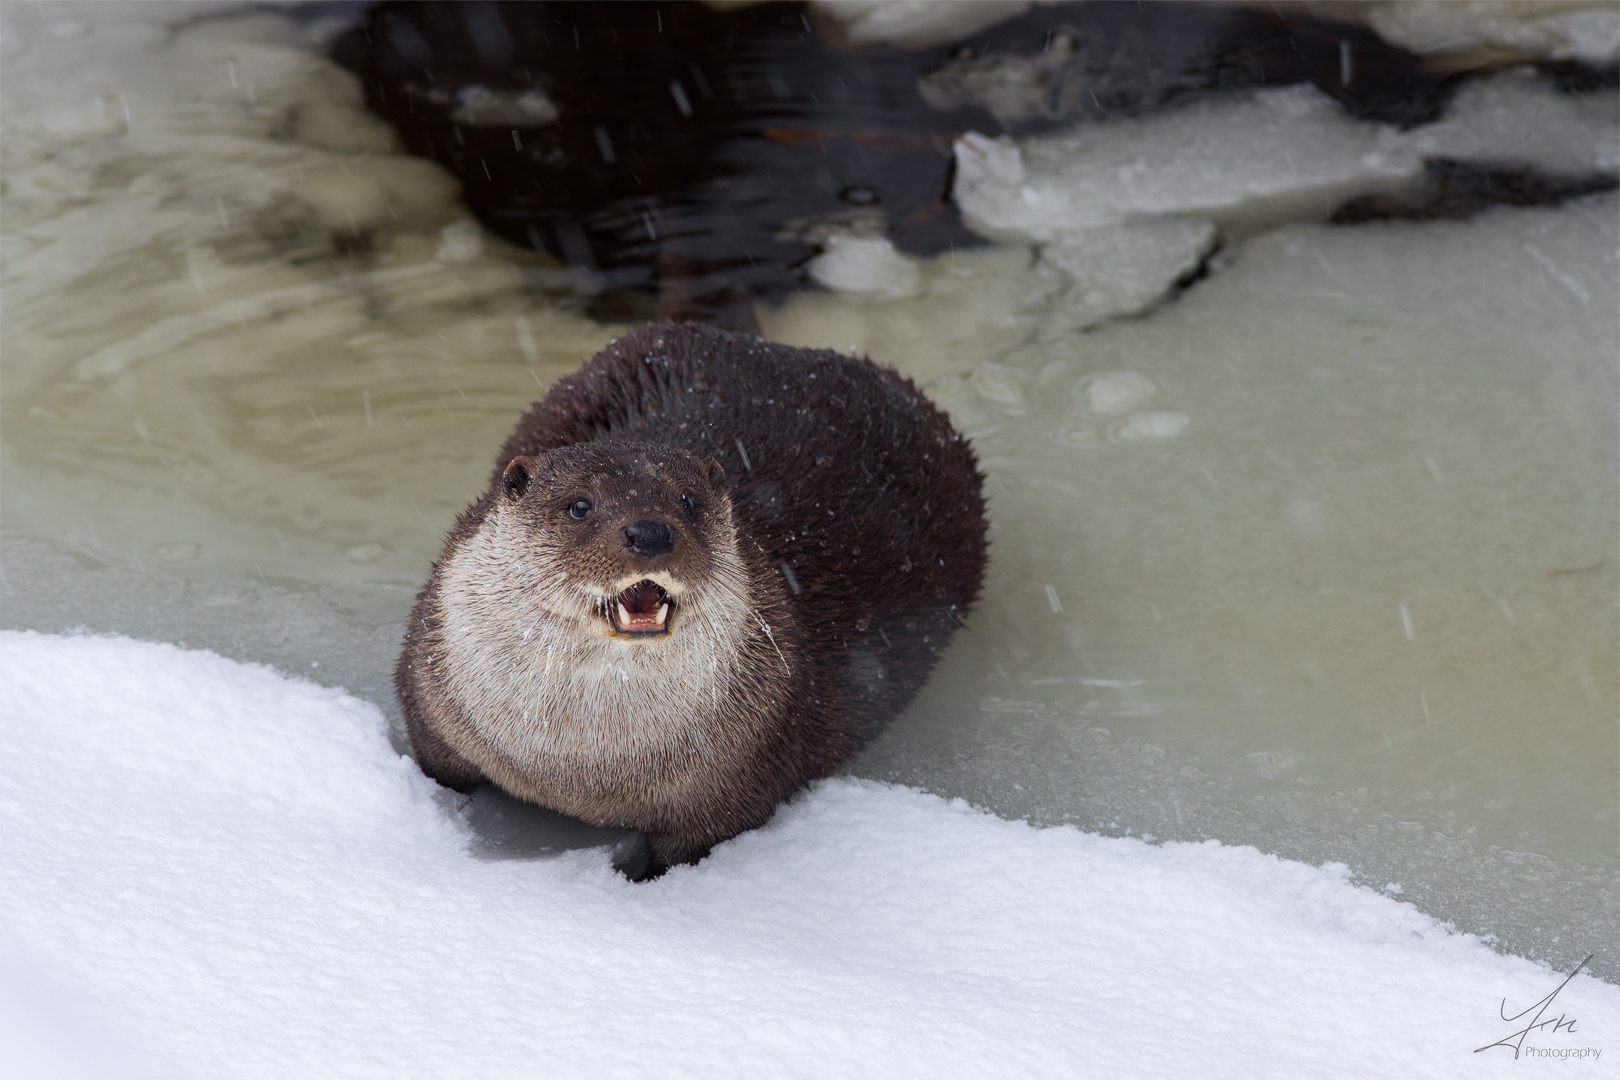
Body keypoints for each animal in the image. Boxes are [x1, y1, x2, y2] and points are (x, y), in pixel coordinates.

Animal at [398, 323, 991, 880]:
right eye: (579, 505)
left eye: (687, 502)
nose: (650, 532)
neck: (573, 769)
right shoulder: (428, 687)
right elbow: (436, 762)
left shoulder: (735, 783)